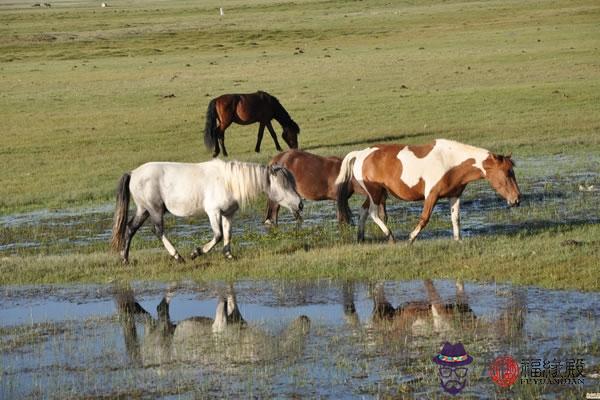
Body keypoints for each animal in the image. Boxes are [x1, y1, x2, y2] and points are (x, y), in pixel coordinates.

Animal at [110, 158, 302, 264]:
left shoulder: (228, 214)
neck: (229, 181)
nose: (300, 204)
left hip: (144, 210)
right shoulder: (213, 212)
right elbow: (218, 235)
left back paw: (125, 258)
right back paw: (177, 256)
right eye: (284, 185)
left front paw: (229, 255)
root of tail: (133, 173)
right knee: (158, 230)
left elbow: (228, 234)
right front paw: (197, 252)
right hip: (154, 209)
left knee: (130, 228)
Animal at [338, 139, 520, 242]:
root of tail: (361, 154)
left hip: (377, 193)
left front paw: (458, 240)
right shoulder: (432, 195)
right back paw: (390, 236)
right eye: (507, 173)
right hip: (375, 193)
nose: (517, 199)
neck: (449, 162)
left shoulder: (455, 195)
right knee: (373, 213)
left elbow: (456, 218)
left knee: (363, 211)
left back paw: (360, 237)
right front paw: (411, 238)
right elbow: (425, 218)